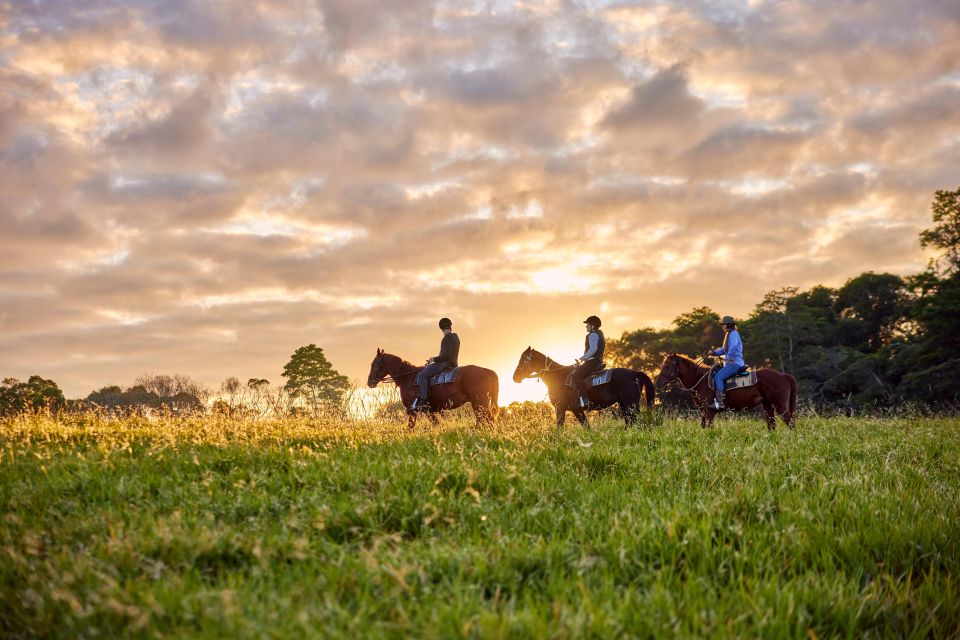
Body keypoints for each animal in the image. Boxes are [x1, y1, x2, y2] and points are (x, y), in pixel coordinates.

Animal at [368, 350, 502, 430]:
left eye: (374, 364)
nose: (369, 382)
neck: (407, 377)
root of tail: (488, 371)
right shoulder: (428, 411)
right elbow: (436, 424)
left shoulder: (412, 410)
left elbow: (411, 427)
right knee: (486, 420)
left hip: (479, 403)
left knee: (486, 420)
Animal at [512, 348, 656, 428]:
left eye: (524, 360)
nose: (515, 377)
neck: (557, 376)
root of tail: (634, 373)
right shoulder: (575, 410)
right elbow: (586, 427)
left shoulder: (563, 409)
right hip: (625, 405)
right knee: (630, 422)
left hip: (630, 405)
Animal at [656, 356, 800, 430]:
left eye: (667, 366)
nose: (657, 382)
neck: (700, 380)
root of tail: (783, 375)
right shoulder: (703, 412)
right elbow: (703, 427)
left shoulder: (709, 412)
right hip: (767, 405)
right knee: (772, 425)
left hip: (780, 406)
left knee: (791, 423)